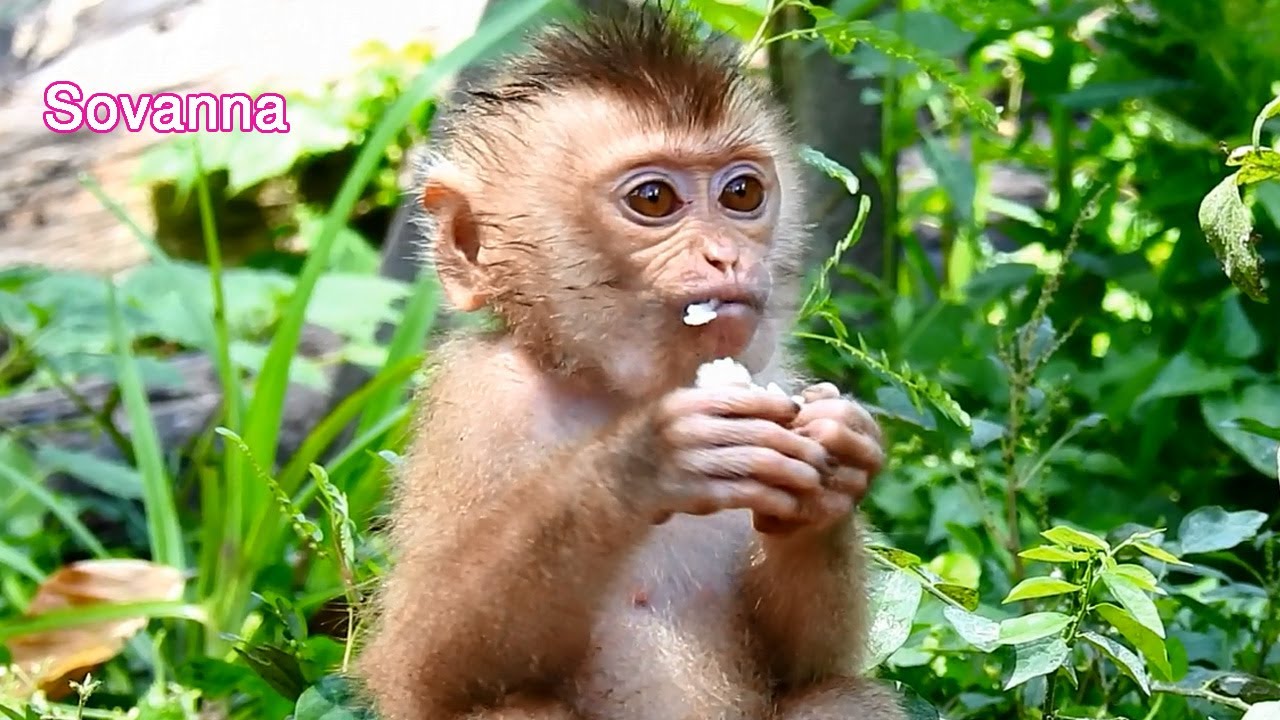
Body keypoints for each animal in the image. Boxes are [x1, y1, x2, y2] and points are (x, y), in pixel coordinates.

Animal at [353, 4, 905, 720]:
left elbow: (805, 663)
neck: (606, 387)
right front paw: (643, 460)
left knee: (836, 693)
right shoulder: (480, 403)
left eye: (742, 192)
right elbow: (421, 667)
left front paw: (838, 460)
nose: (727, 255)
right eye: (652, 200)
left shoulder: (774, 375)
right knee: (515, 705)